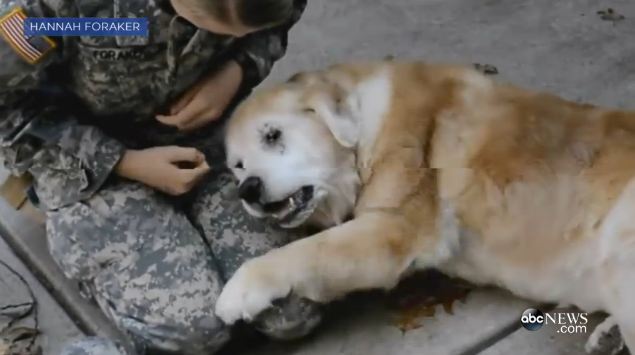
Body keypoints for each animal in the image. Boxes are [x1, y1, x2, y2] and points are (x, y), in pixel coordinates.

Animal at [216, 61, 635, 354]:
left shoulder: (389, 230)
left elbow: (300, 253)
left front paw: (238, 291)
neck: (364, 129)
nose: (248, 190)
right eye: (238, 166)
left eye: (273, 135)